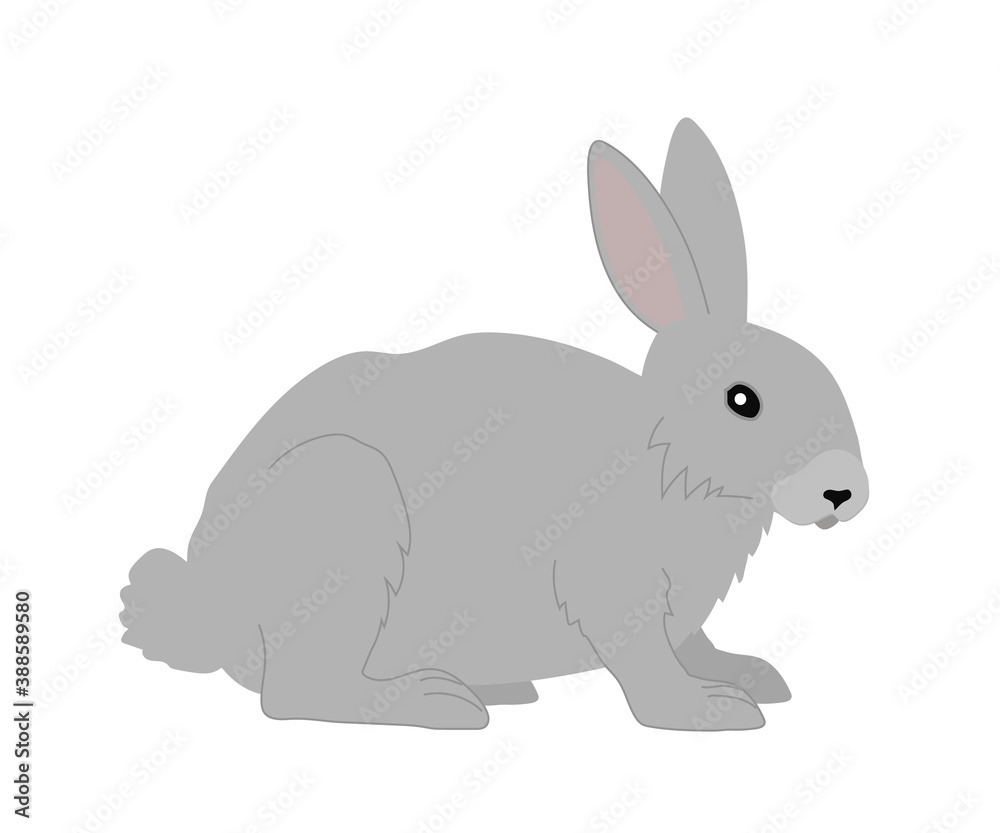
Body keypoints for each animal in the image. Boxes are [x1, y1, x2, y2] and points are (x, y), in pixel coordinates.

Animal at [119, 118, 868, 731]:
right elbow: (643, 661)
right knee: (299, 691)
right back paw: (432, 700)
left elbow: (692, 644)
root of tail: (209, 609)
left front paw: (748, 673)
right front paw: (704, 708)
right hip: (340, 508)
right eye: (743, 400)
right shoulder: (611, 582)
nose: (844, 492)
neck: (673, 458)